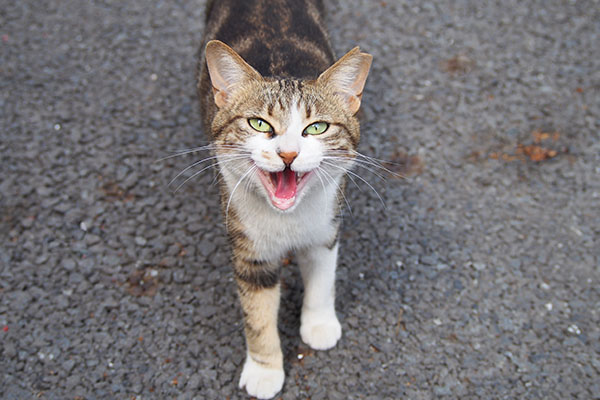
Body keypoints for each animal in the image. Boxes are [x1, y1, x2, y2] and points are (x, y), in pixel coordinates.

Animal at [197, 0, 370, 396]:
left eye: (317, 127)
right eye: (259, 124)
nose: (288, 154)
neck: (288, 218)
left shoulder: (326, 226)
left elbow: (322, 278)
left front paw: (319, 324)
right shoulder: (249, 250)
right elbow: (258, 316)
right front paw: (265, 370)